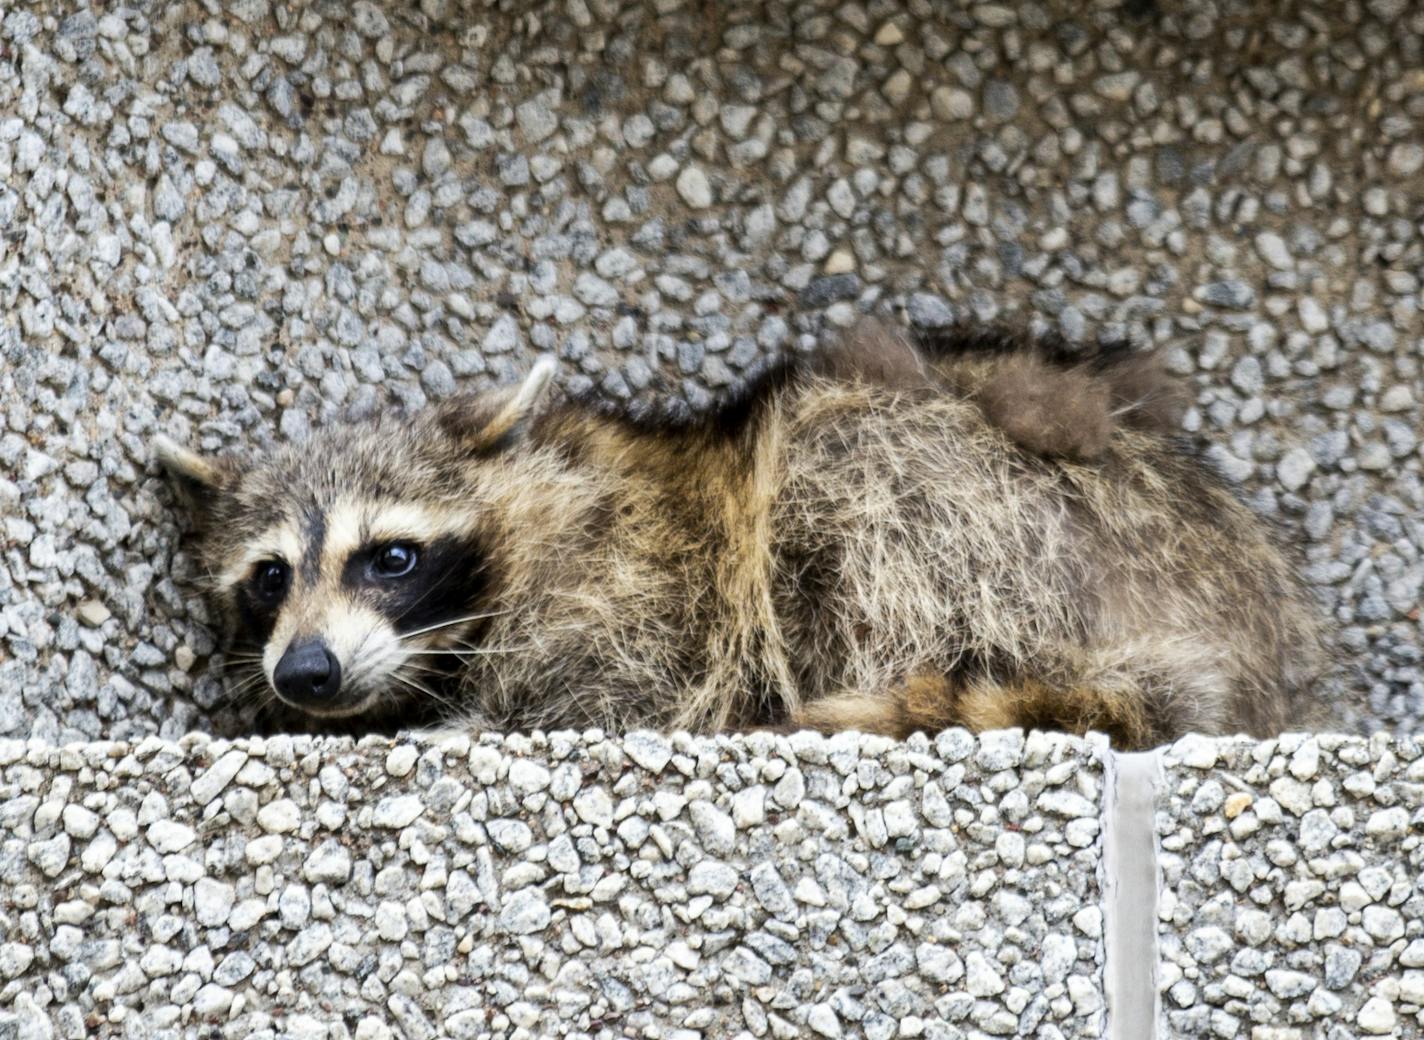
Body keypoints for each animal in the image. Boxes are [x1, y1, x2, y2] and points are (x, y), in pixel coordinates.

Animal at [155, 317, 1332, 746]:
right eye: (269, 577)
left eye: (389, 557)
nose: (306, 671)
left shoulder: (632, 595)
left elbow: (603, 693)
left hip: (983, 514)